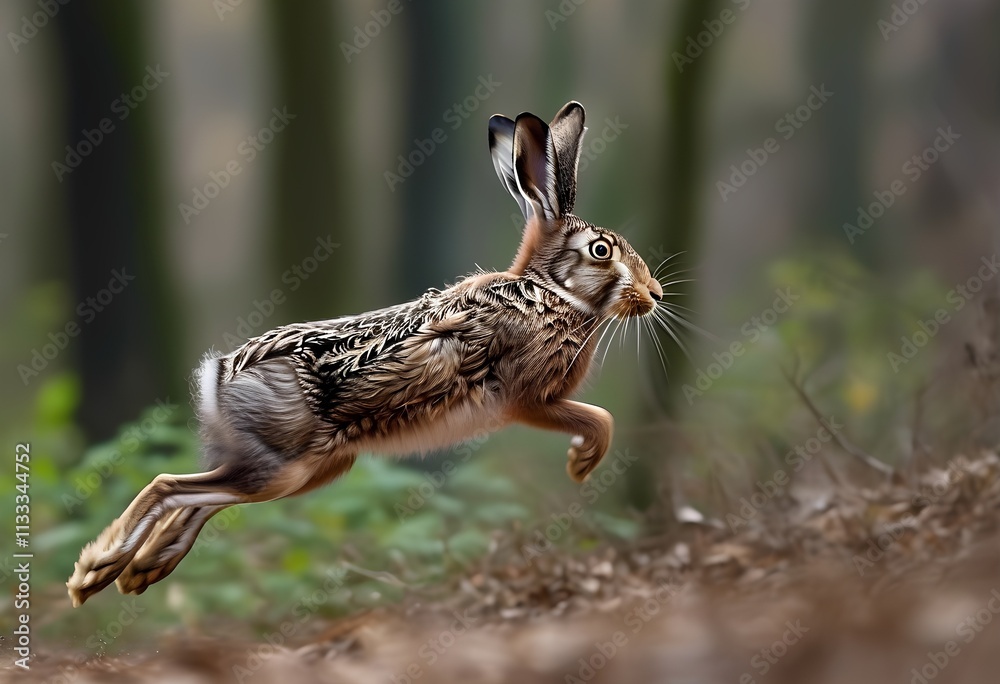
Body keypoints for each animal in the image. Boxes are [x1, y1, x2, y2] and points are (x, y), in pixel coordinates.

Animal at [67, 101, 665, 607]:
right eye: (601, 251)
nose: (655, 294)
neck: (549, 292)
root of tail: (219, 377)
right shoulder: (530, 399)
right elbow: (599, 418)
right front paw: (582, 463)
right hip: (284, 466)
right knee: (170, 486)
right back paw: (95, 571)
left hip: (306, 470)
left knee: (201, 497)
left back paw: (140, 570)